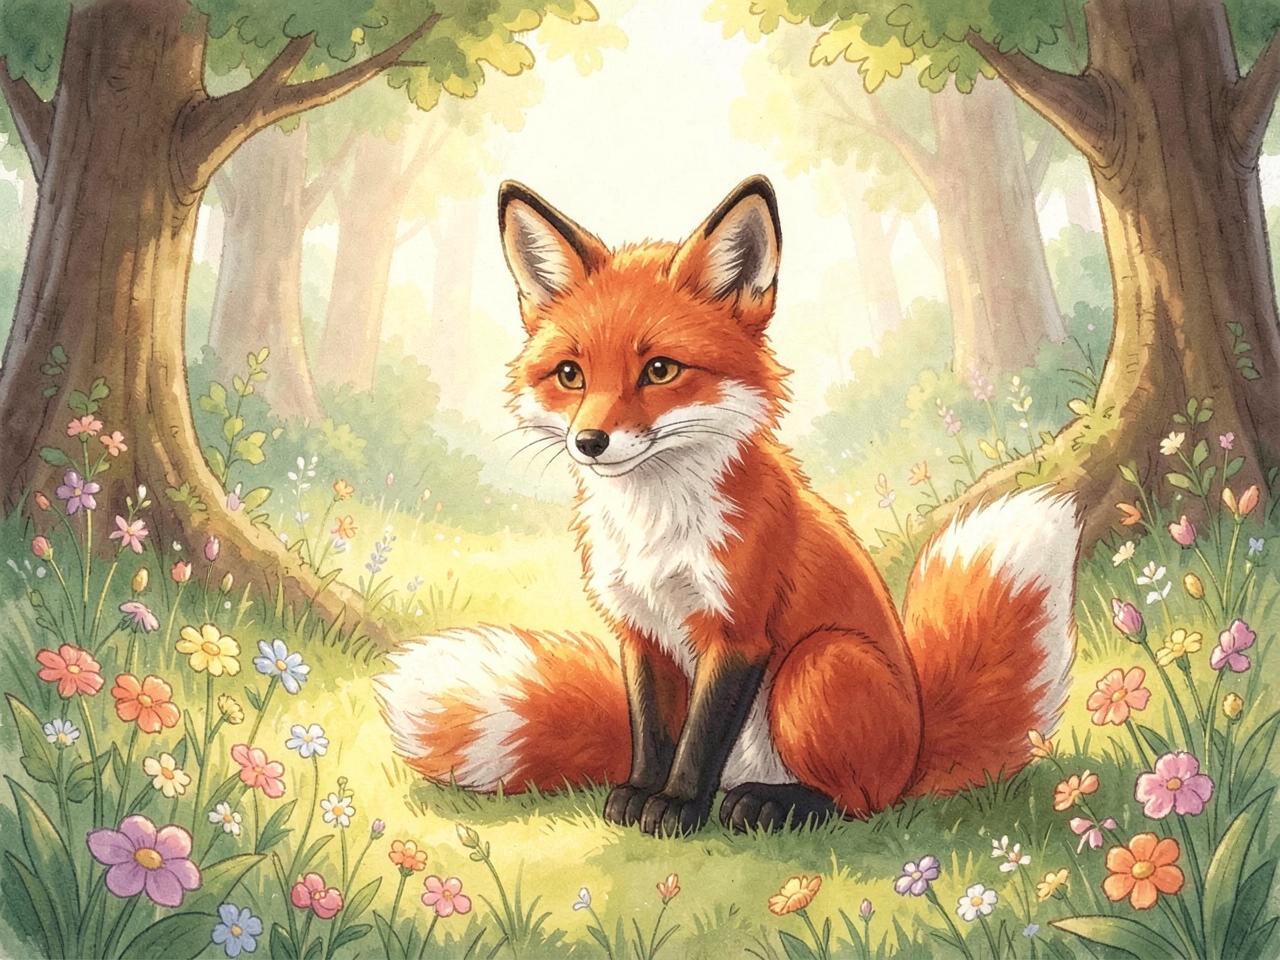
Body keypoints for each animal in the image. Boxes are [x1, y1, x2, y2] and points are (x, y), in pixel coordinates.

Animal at [377, 175, 1082, 836]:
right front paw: (641, 794)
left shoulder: (739, 630)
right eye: (570, 375)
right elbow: (653, 732)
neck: (656, 530)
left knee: (863, 802)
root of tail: (920, 751)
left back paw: (775, 805)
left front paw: (678, 809)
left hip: (818, 665)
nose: (589, 442)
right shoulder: (640, 628)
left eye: (660, 370)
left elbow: (698, 738)